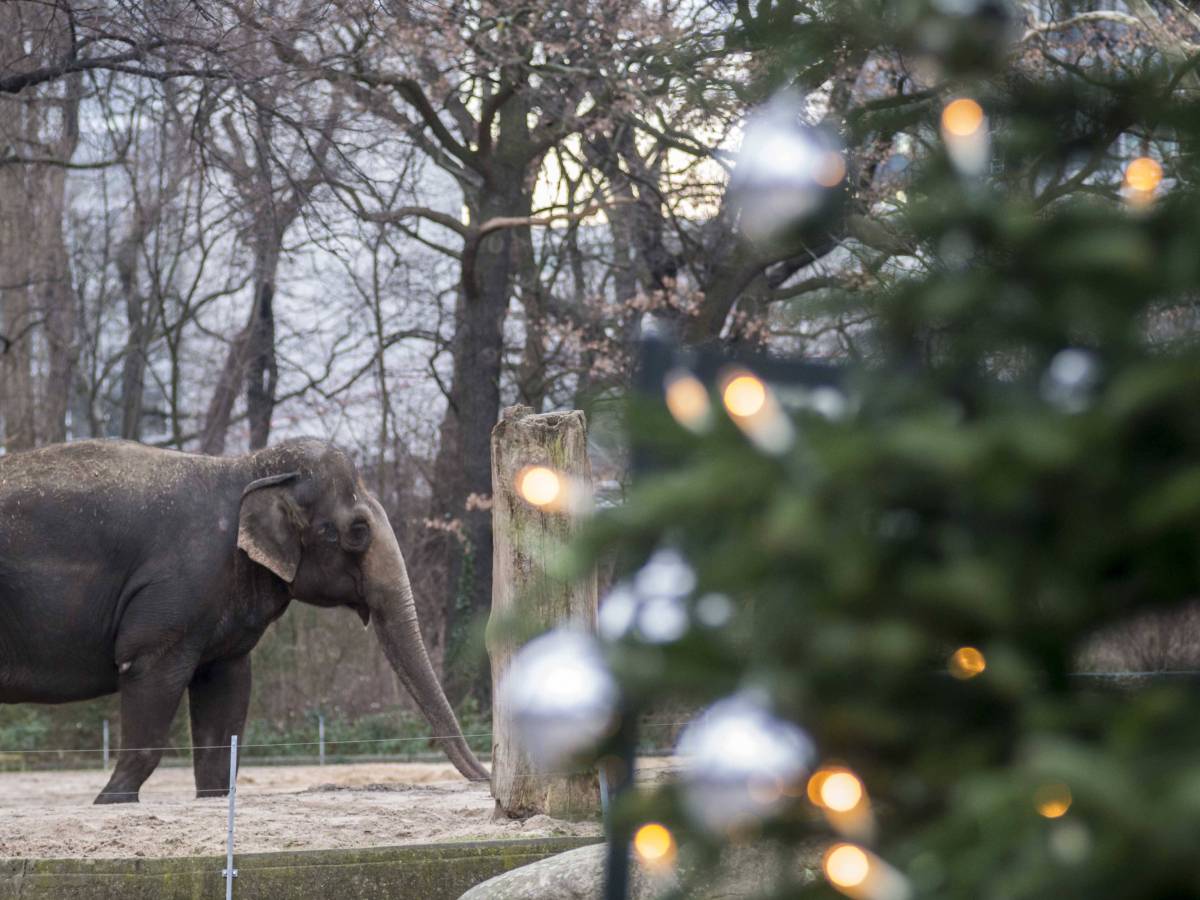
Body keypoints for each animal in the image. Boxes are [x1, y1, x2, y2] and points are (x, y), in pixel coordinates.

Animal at [0, 436, 489, 801]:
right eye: (357, 532)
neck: (245, 468)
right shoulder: (174, 592)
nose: (484, 777)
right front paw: (111, 800)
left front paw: (213, 798)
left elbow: (227, 690)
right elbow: (148, 670)